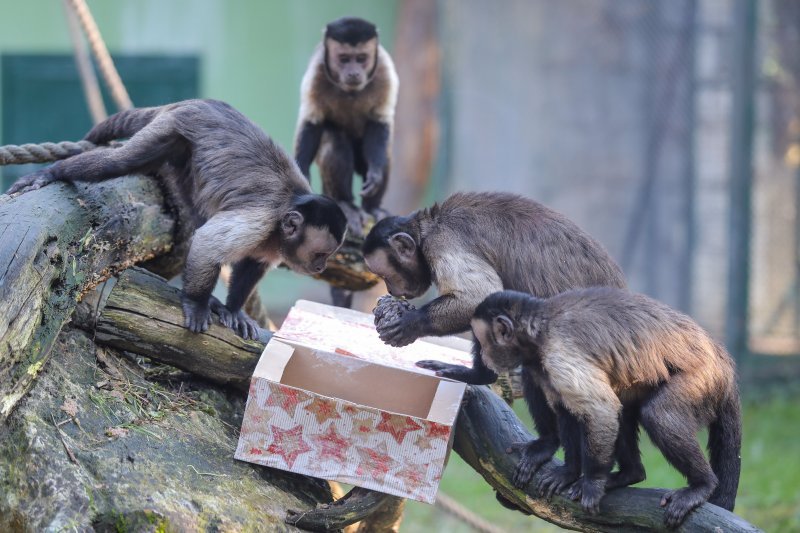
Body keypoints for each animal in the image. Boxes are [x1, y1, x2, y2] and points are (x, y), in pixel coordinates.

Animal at [7, 98, 346, 338]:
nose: (321, 267)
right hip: (172, 128)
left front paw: (233, 309)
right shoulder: (261, 220)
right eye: (321, 254)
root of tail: (196, 101)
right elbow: (208, 245)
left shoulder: (272, 240)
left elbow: (253, 262)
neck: (284, 215)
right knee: (119, 162)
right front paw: (197, 304)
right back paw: (53, 173)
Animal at [294, 15, 396, 233]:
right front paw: (302, 171)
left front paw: (375, 175)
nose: (353, 72)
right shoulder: (316, 72)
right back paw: (346, 204)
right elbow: (312, 122)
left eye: (361, 59)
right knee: (335, 141)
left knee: (385, 153)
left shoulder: (385, 70)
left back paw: (372, 208)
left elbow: (379, 122)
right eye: (344, 59)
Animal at [362, 190, 644, 502]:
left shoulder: (444, 242)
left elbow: (478, 297)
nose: (390, 290)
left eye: (386, 274)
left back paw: (548, 445)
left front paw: (410, 324)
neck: (429, 228)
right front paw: (477, 374)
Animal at [472, 290, 740, 528]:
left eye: (483, 342)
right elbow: (568, 410)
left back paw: (702, 485)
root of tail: (721, 356)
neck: (539, 333)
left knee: (657, 416)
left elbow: (600, 410)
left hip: (702, 377)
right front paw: (569, 472)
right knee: (623, 410)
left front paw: (592, 483)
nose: (482, 356)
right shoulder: (545, 367)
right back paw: (630, 474)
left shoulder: (558, 355)